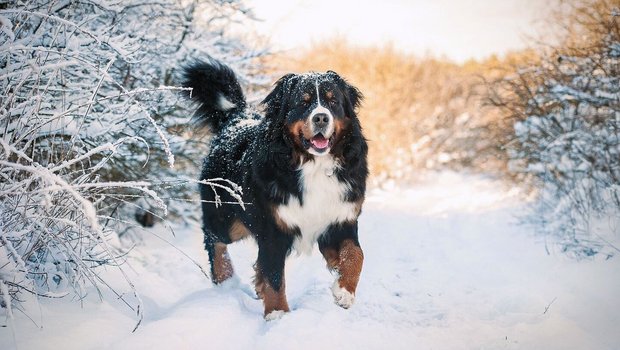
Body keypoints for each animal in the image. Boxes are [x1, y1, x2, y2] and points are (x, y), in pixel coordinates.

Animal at [184, 58, 368, 320]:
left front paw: (344, 292)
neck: (313, 165)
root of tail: (237, 118)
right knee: (214, 238)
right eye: (303, 102)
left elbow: (355, 255)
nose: (321, 118)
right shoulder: (273, 228)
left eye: (333, 101)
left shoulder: (340, 220)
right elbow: (274, 276)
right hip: (229, 220)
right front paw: (277, 313)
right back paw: (225, 278)